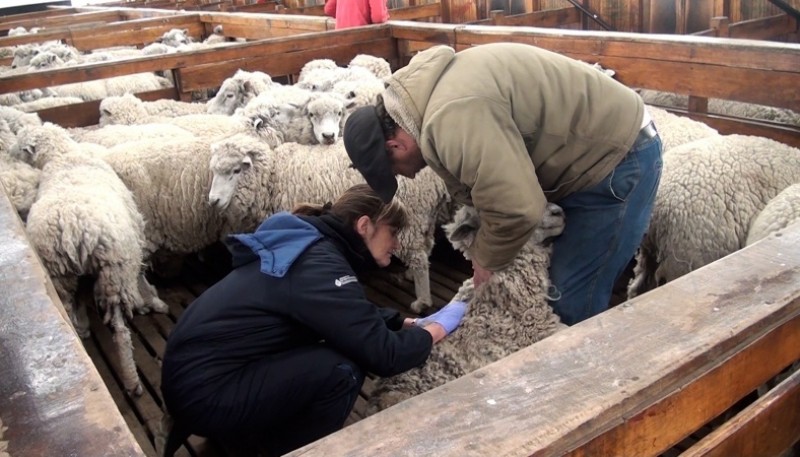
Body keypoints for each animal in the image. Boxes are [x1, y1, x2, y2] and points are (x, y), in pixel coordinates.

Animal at [209, 137, 454, 312]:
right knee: (426, 246)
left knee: (418, 256)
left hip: (410, 218)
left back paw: (422, 300)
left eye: (236, 171)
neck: (272, 177)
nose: (213, 201)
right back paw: (413, 275)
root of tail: (433, 177)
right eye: (213, 171)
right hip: (423, 215)